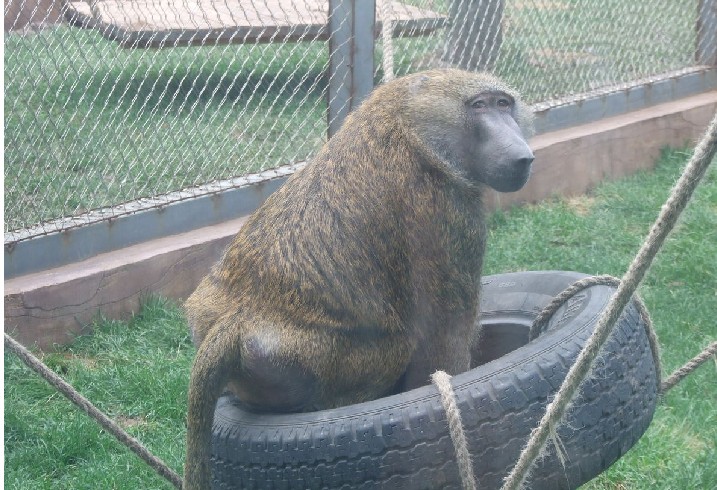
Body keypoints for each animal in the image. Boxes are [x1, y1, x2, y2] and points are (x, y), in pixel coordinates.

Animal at [182, 68, 534, 489]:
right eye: (480, 106)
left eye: (504, 104)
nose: (522, 156)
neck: (406, 123)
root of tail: (238, 321)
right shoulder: (447, 210)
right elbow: (442, 344)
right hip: (319, 360)